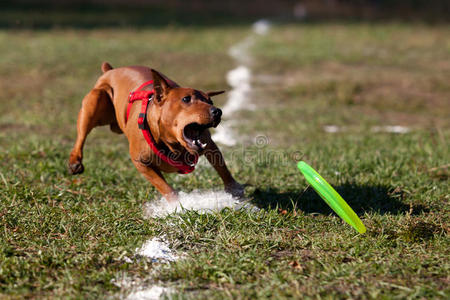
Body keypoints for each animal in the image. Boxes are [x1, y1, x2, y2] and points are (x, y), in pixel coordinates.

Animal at [67, 61, 243, 200]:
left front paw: (233, 189)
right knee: (81, 136)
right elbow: (166, 188)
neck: (173, 145)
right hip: (94, 100)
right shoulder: (141, 163)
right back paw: (75, 161)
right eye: (186, 99)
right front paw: (177, 206)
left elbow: (221, 166)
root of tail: (110, 70)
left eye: (210, 101)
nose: (218, 112)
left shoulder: (208, 143)